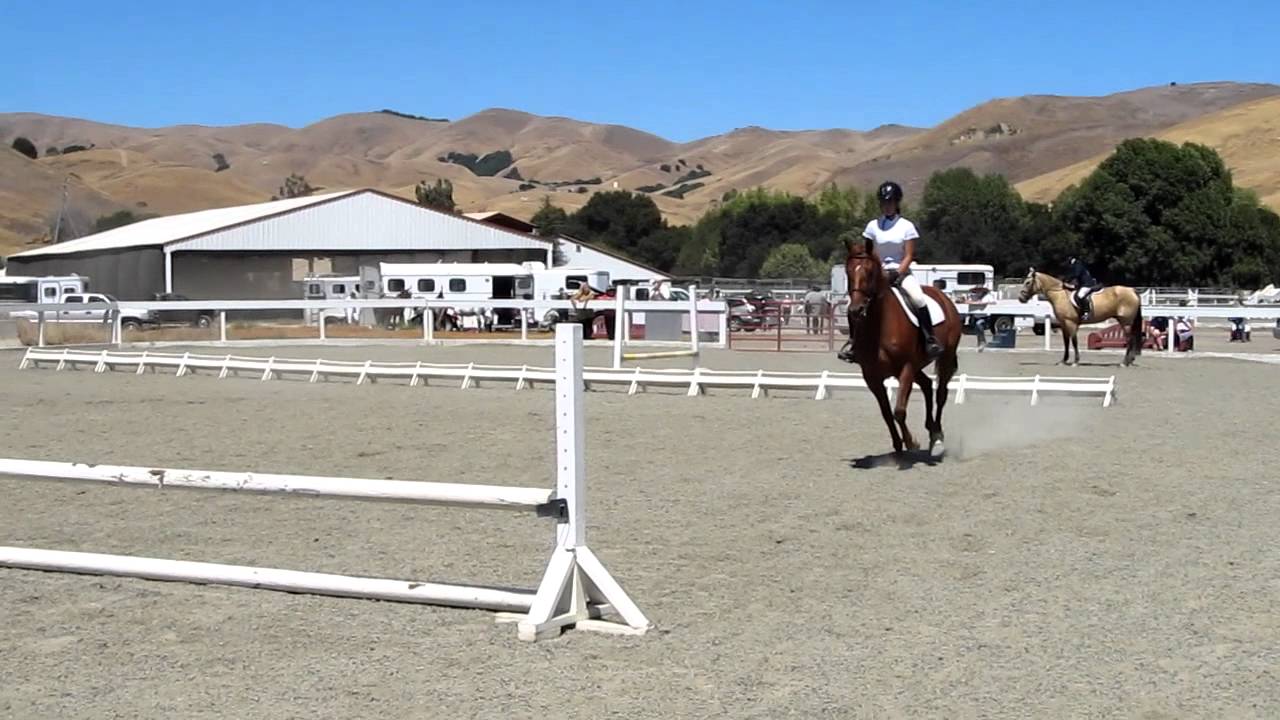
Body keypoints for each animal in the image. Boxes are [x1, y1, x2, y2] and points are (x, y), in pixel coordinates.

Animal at [843, 242, 963, 460]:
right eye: (848, 272)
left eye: (870, 272)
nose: (856, 310)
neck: (880, 325)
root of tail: (943, 296)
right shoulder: (871, 376)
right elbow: (886, 412)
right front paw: (898, 445)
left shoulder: (905, 368)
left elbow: (898, 410)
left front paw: (911, 443)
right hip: (917, 366)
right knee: (926, 386)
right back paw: (931, 432)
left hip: (945, 356)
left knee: (940, 394)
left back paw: (937, 439)